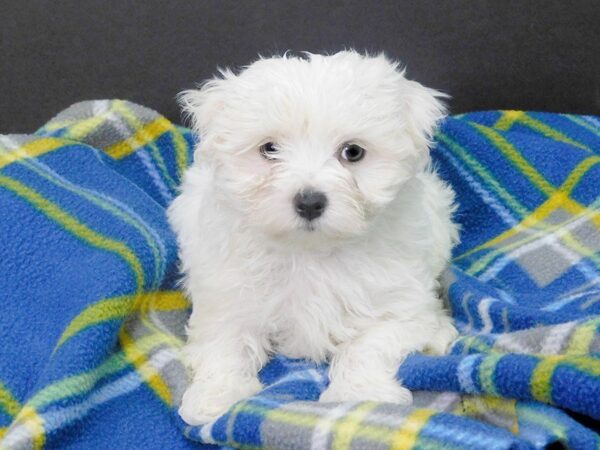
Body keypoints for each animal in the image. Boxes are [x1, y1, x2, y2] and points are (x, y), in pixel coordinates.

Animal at [169, 50, 460, 426]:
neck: (310, 251)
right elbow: (224, 343)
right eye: (269, 149)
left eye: (353, 152)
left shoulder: (399, 300)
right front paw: (216, 395)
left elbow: (370, 343)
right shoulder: (226, 296)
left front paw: (360, 392)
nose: (309, 201)